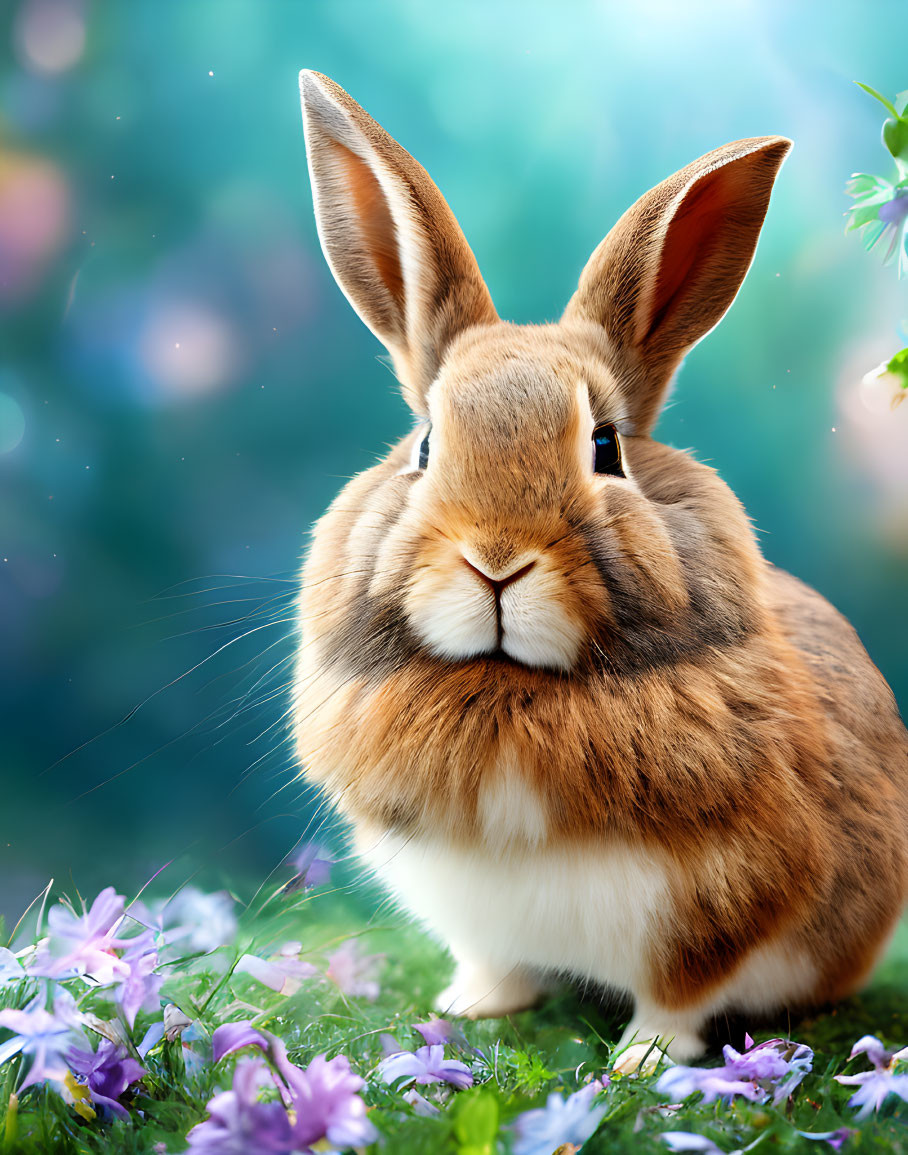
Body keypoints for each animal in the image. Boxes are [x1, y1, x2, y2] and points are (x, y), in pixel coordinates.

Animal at [292, 72, 905, 1062]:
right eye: (424, 444)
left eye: (606, 446)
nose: (496, 559)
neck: (511, 690)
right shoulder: (472, 912)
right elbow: (496, 963)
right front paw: (471, 1008)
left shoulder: (722, 903)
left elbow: (680, 993)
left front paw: (641, 1063)